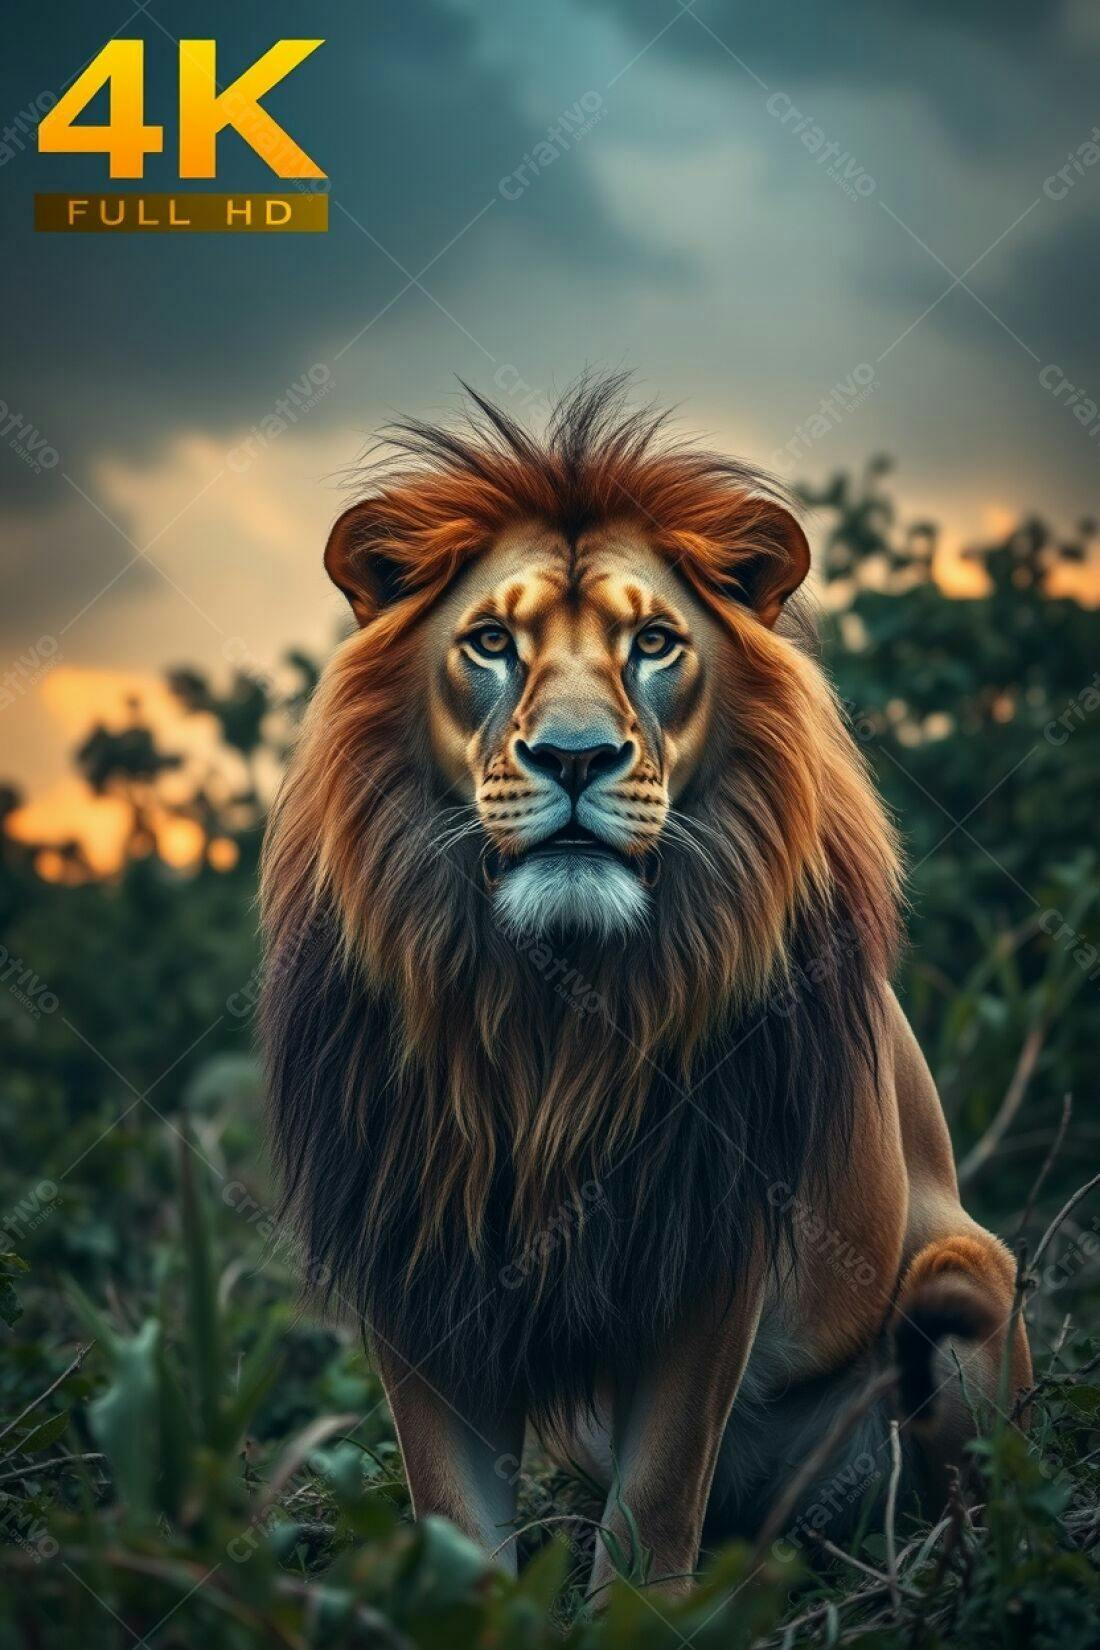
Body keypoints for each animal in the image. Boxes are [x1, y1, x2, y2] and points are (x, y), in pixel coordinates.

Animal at [261, 375, 1030, 1600]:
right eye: (490, 642)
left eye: (656, 643)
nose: (575, 758)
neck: (548, 1010)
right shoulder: (416, 1257)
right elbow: (453, 1512)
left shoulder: (710, 1248)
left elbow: (657, 1497)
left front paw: (643, 1610)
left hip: (967, 1279)